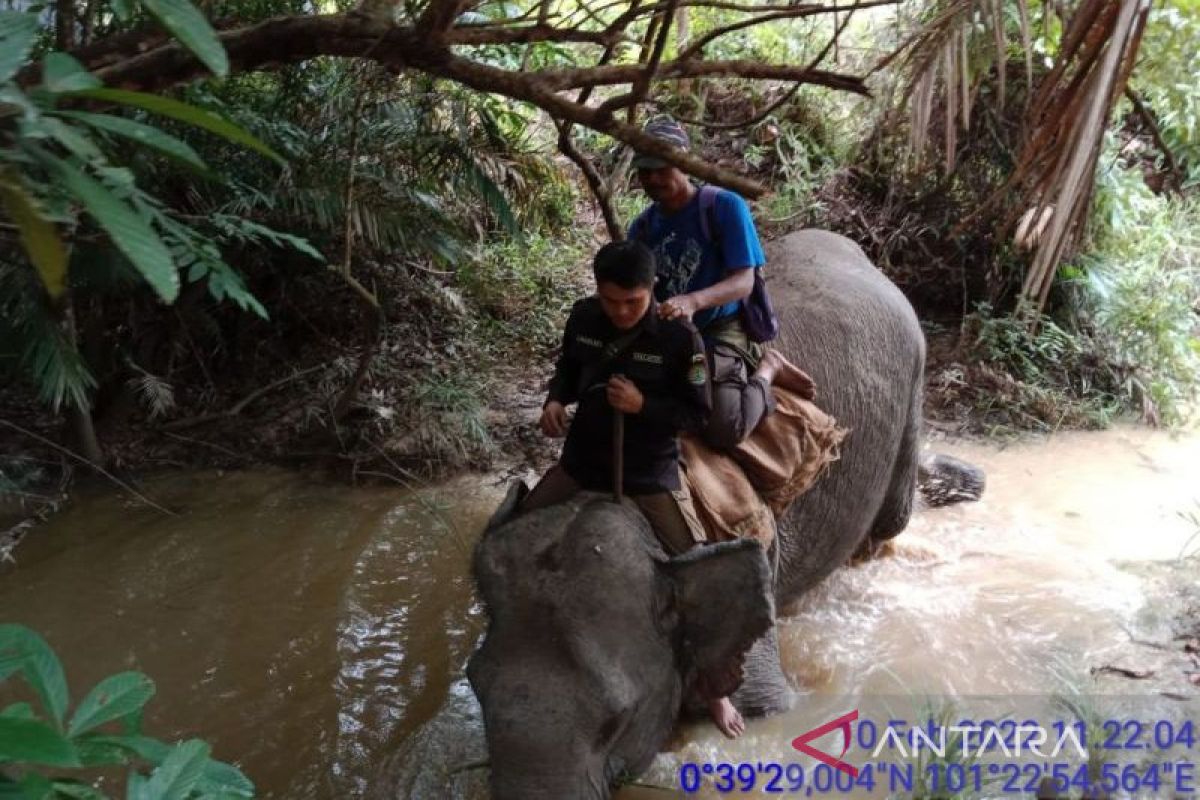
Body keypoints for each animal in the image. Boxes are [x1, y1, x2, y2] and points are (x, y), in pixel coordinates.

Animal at [463, 227, 979, 796]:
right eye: (477, 688)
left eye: (617, 721)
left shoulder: (752, 564)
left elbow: (762, 708)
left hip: (913, 383)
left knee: (889, 524)